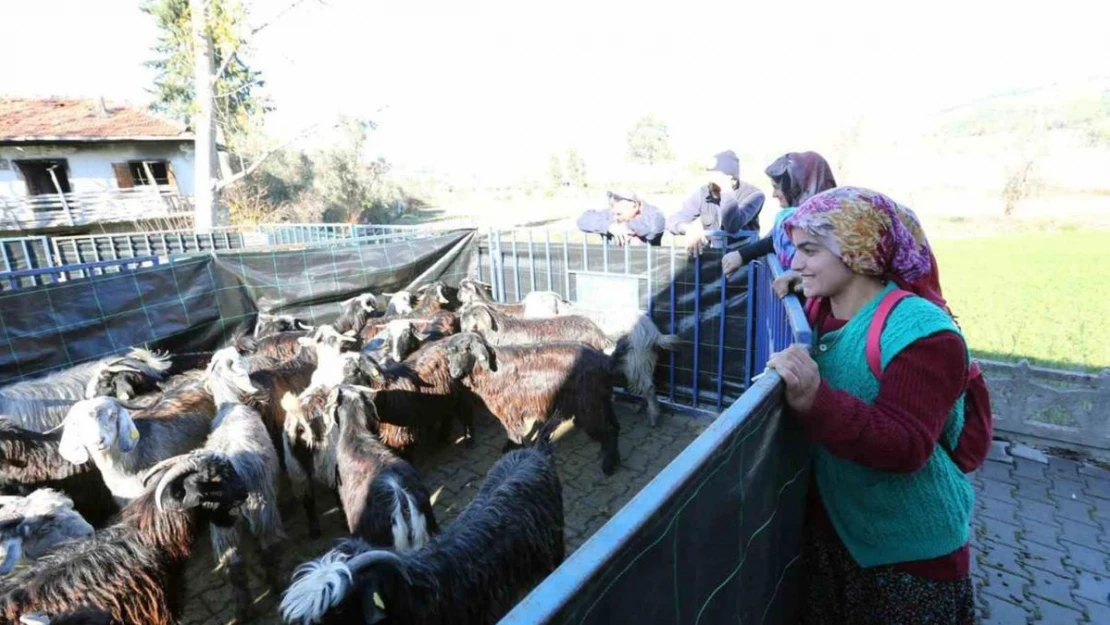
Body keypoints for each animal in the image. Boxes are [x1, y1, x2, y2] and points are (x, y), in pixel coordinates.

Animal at [441, 333, 621, 475]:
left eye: (466, 350)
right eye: (449, 353)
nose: (454, 374)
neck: (494, 371)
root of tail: (603, 359)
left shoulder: (509, 409)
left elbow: (512, 431)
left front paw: (513, 448)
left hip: (588, 406)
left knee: (608, 430)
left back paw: (608, 465)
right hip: (601, 401)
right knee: (615, 426)